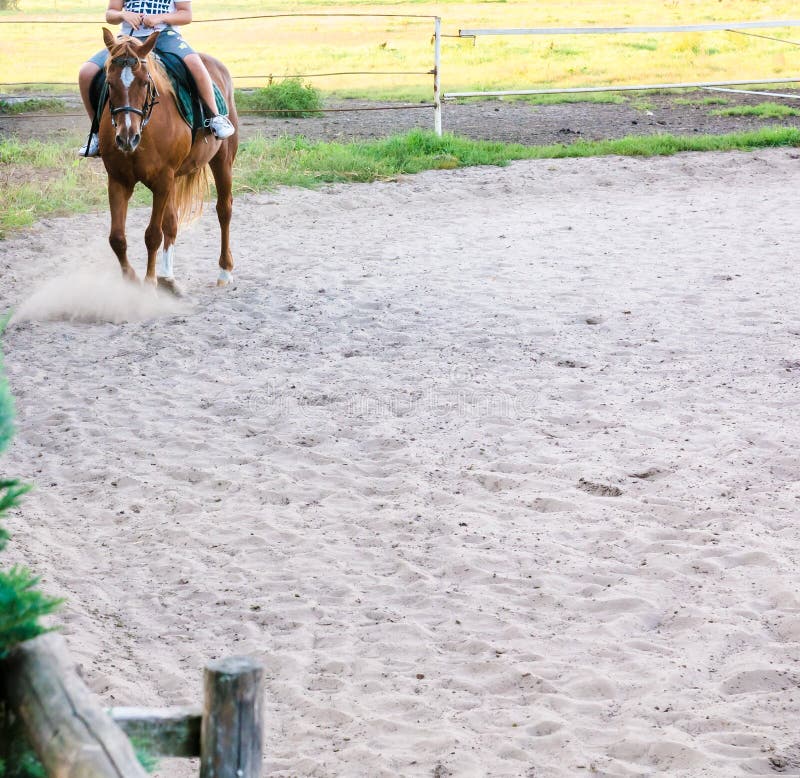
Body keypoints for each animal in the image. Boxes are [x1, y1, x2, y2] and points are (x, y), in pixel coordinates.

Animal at [97, 28, 238, 292]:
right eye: (109, 83)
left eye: (144, 82)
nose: (127, 137)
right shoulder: (118, 181)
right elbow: (117, 238)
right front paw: (131, 278)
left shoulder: (162, 181)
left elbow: (153, 235)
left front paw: (149, 281)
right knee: (171, 223)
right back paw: (167, 277)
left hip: (222, 160)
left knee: (224, 210)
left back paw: (224, 270)